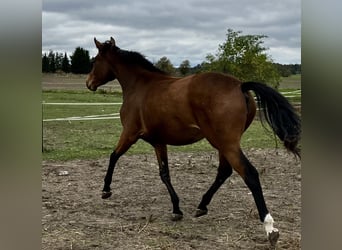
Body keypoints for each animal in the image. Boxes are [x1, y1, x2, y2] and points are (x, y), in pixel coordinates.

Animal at [87, 37, 300, 246]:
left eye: (95, 60)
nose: (89, 83)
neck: (140, 86)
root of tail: (240, 86)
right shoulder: (159, 142)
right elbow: (164, 173)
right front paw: (176, 209)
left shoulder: (130, 134)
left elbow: (114, 156)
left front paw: (106, 190)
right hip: (223, 144)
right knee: (224, 172)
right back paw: (202, 206)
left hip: (226, 144)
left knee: (250, 174)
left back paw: (270, 228)